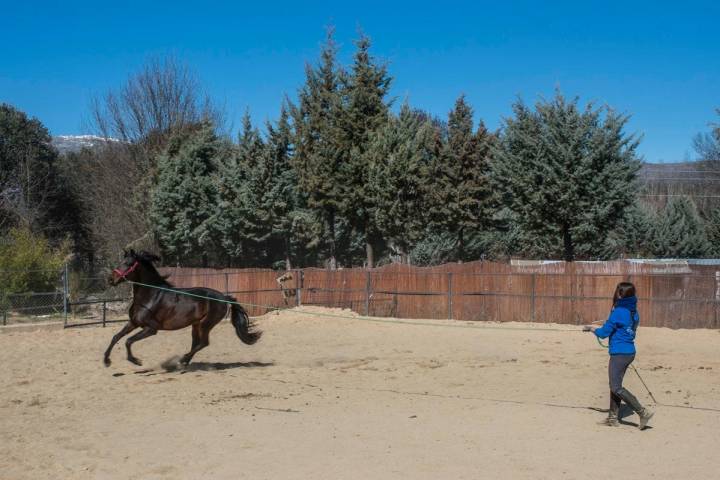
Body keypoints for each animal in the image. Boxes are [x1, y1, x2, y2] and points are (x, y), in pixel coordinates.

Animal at [100, 251, 260, 368]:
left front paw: (136, 361)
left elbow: (128, 341)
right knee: (197, 343)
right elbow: (116, 337)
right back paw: (185, 362)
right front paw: (106, 361)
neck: (150, 296)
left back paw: (182, 360)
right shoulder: (133, 323)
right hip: (196, 324)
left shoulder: (151, 329)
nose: (110, 280)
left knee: (204, 343)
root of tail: (223, 297)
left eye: (128, 264)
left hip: (206, 324)